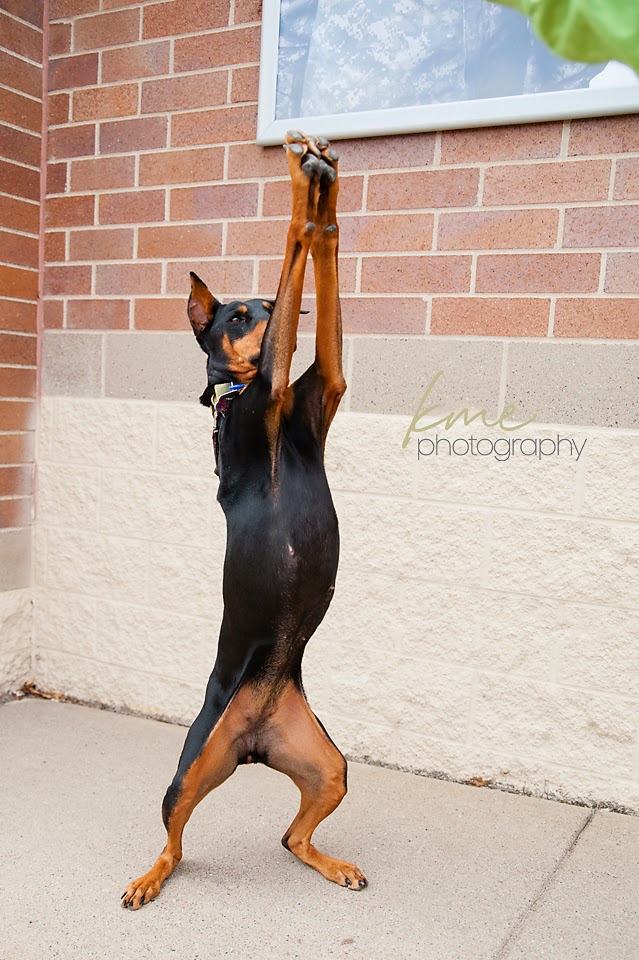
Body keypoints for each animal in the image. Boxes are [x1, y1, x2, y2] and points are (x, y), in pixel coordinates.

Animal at [122, 132, 367, 909]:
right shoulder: (274, 385)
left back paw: (330, 862)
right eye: (235, 316)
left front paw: (325, 190)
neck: (256, 399)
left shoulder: (324, 384)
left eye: (260, 306)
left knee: (292, 837)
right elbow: (297, 243)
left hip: (327, 764)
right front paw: (299, 184)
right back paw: (149, 877)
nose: (252, 327)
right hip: (194, 761)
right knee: (173, 835)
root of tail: (256, 738)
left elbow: (318, 267)